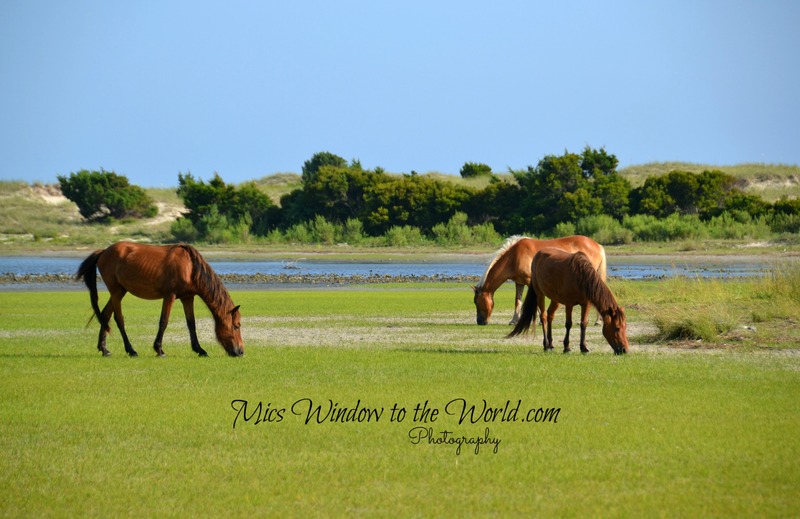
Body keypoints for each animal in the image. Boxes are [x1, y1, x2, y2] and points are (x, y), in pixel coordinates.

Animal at [76, 241, 244, 357]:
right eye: (236, 326)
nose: (241, 351)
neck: (190, 267)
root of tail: (103, 252)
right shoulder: (170, 296)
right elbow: (164, 321)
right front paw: (159, 349)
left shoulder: (187, 297)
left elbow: (191, 324)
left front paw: (200, 350)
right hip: (116, 291)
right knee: (119, 319)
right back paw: (131, 350)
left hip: (120, 291)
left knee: (105, 315)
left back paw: (104, 349)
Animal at [472, 235, 606, 325]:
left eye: (476, 302)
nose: (480, 321)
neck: (514, 256)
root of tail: (597, 245)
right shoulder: (519, 283)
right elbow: (517, 301)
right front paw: (514, 320)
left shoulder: (530, 281)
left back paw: (598, 321)